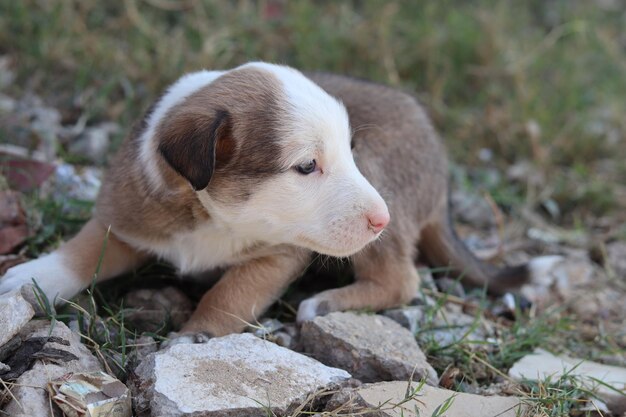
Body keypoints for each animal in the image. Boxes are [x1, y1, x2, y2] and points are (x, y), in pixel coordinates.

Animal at [0, 61, 544, 334]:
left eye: (349, 152)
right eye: (306, 166)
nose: (382, 219)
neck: (212, 218)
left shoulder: (279, 255)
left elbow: (230, 294)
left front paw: (194, 339)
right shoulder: (126, 214)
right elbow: (81, 251)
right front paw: (25, 279)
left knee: (401, 279)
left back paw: (324, 303)